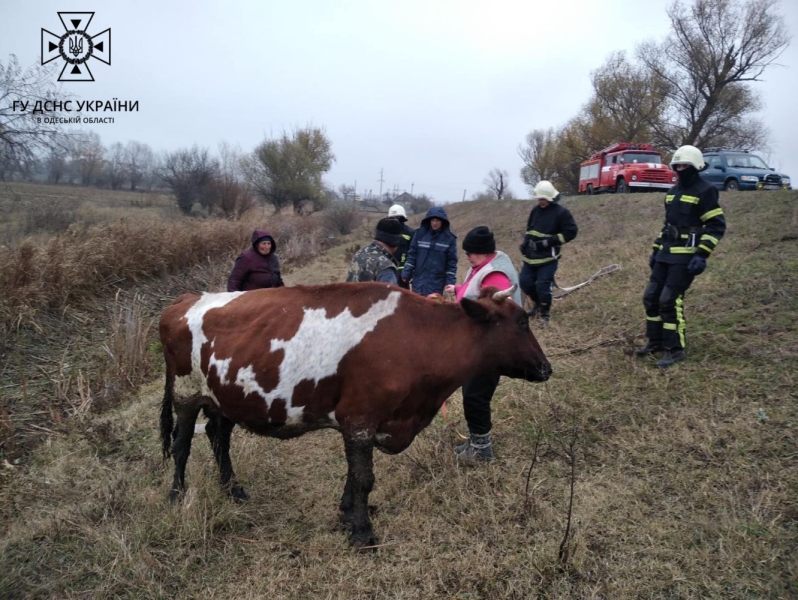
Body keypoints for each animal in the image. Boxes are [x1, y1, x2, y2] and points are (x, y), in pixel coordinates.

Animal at [159, 282, 552, 548]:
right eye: (521, 322)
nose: (546, 368)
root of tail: (186, 299)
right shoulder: (361, 420)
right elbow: (364, 478)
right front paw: (362, 533)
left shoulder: (357, 424)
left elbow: (353, 476)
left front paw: (348, 512)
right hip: (185, 393)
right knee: (181, 445)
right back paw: (177, 494)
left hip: (224, 396)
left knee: (218, 437)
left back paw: (232, 488)